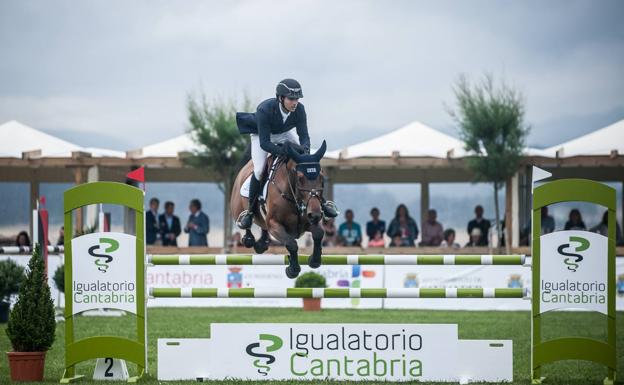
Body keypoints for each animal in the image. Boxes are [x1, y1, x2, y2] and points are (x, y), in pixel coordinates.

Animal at [232, 140, 330, 278]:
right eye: (300, 178)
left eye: (321, 177)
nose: (315, 214)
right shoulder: (274, 224)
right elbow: (291, 244)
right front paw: (293, 269)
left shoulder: (307, 222)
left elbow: (318, 233)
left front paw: (314, 260)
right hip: (237, 210)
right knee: (246, 223)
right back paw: (248, 237)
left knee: (263, 226)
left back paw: (262, 243)